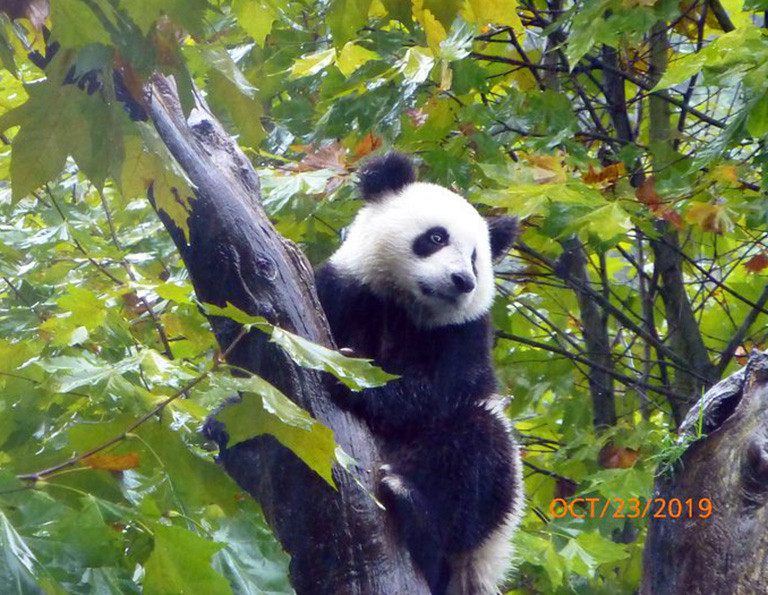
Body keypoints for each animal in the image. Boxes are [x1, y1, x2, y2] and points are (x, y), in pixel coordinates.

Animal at [316, 152, 524, 595]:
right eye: (436, 238)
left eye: (476, 257)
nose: (463, 281)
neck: (406, 305)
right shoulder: (345, 290)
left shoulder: (463, 335)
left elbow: (436, 395)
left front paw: (351, 377)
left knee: (477, 453)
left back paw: (412, 502)